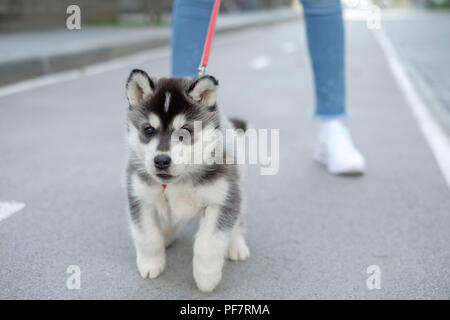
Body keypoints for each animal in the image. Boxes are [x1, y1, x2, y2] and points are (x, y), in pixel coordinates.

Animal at [125, 70, 250, 292]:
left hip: (236, 189)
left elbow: (208, 244)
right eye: (148, 130)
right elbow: (147, 237)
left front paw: (206, 278)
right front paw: (150, 264)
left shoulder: (221, 200)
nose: (161, 161)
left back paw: (236, 245)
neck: (179, 181)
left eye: (185, 131)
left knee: (237, 220)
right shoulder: (140, 198)